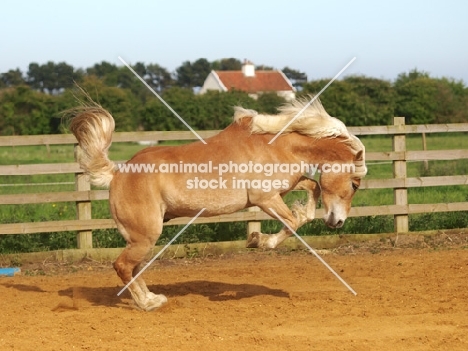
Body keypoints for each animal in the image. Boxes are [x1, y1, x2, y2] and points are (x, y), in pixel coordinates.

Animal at [66, 95, 366, 312]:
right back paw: (147, 304)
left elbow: (312, 189)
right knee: (123, 266)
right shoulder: (264, 198)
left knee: (134, 267)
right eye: (355, 184)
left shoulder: (287, 186)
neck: (276, 145)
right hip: (145, 235)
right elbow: (293, 222)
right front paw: (257, 240)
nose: (338, 222)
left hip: (141, 238)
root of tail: (118, 173)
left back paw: (152, 298)